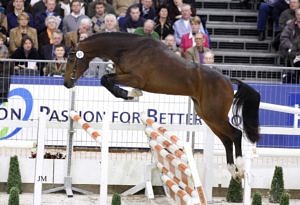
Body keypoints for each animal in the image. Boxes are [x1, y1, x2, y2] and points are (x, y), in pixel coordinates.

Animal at [63, 32, 260, 181]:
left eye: (72, 57)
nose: (66, 83)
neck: (127, 49)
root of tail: (228, 80)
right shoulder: (124, 75)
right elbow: (107, 79)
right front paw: (132, 94)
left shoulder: (135, 78)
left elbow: (105, 79)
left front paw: (129, 94)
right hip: (207, 116)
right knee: (227, 139)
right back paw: (233, 171)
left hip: (215, 115)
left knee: (236, 134)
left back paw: (240, 167)